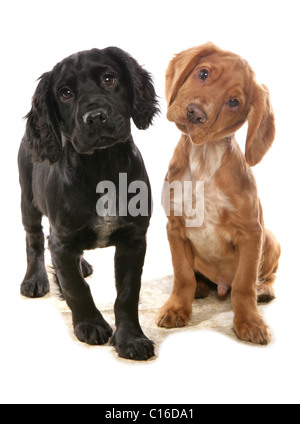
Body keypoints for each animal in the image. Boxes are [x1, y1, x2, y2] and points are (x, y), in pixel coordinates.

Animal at [18, 47, 159, 362]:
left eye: (109, 79)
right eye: (65, 93)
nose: (95, 117)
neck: (101, 167)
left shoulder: (134, 239)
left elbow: (128, 293)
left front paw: (131, 339)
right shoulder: (62, 238)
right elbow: (75, 287)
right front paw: (90, 325)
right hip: (27, 199)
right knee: (34, 238)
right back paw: (35, 279)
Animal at [158, 43, 280, 344]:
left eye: (233, 102)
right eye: (203, 73)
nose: (195, 113)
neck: (204, 158)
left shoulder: (252, 232)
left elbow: (244, 285)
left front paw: (249, 321)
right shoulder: (174, 226)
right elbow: (182, 275)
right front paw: (177, 307)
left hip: (270, 239)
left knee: (265, 276)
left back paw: (265, 289)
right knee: (196, 276)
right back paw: (201, 286)